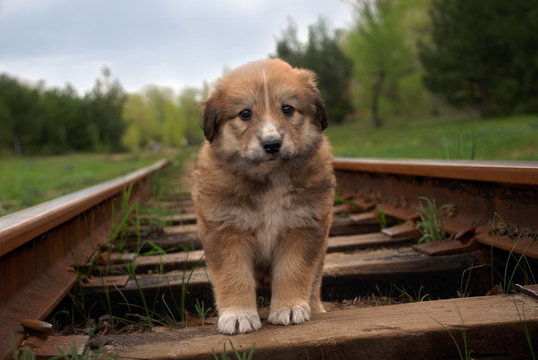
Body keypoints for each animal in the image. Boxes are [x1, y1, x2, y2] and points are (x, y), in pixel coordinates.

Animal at [192, 59, 336, 334]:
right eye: (245, 114)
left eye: (288, 109)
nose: (272, 144)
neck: (270, 178)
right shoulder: (226, 230)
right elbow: (234, 275)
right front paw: (238, 315)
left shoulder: (304, 227)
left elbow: (295, 270)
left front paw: (289, 307)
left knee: (314, 283)